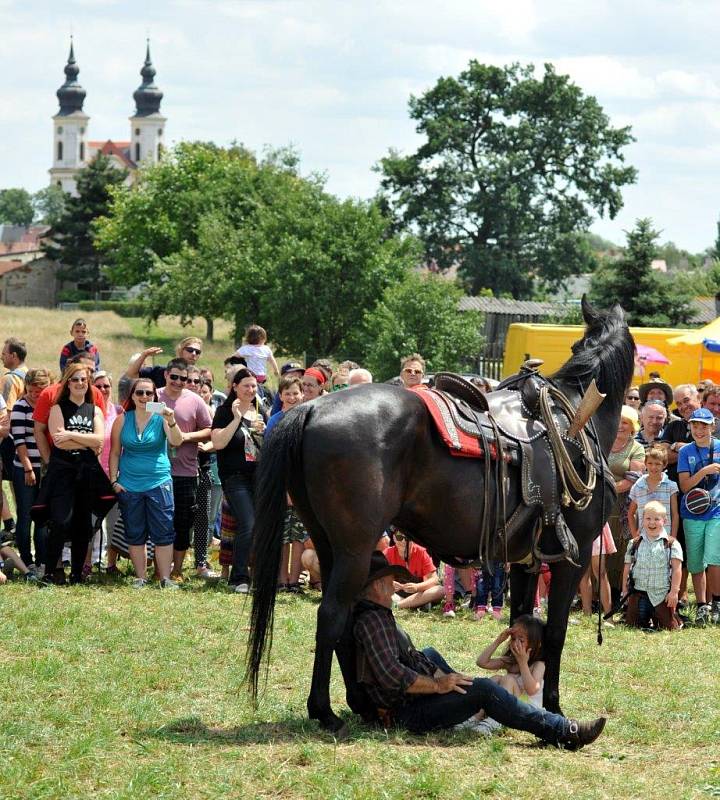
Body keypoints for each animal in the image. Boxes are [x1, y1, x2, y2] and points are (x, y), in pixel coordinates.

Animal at [248, 300, 636, 732]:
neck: (575, 423)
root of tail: (313, 406)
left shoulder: (526, 561)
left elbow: (521, 621)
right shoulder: (573, 556)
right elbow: (554, 633)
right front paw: (553, 706)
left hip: (328, 545)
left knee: (346, 620)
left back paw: (357, 703)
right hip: (355, 548)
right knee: (332, 615)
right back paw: (325, 711)